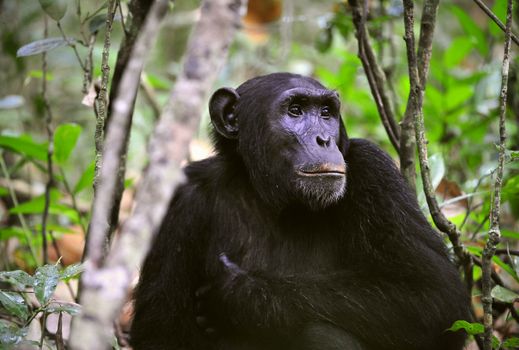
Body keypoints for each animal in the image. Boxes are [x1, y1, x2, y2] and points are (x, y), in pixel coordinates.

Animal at [129, 72, 472, 348]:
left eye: (326, 113)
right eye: (295, 110)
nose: (323, 139)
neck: (272, 197)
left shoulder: (376, 173)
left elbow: (433, 294)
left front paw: (240, 295)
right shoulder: (179, 201)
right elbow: (159, 332)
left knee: (322, 333)